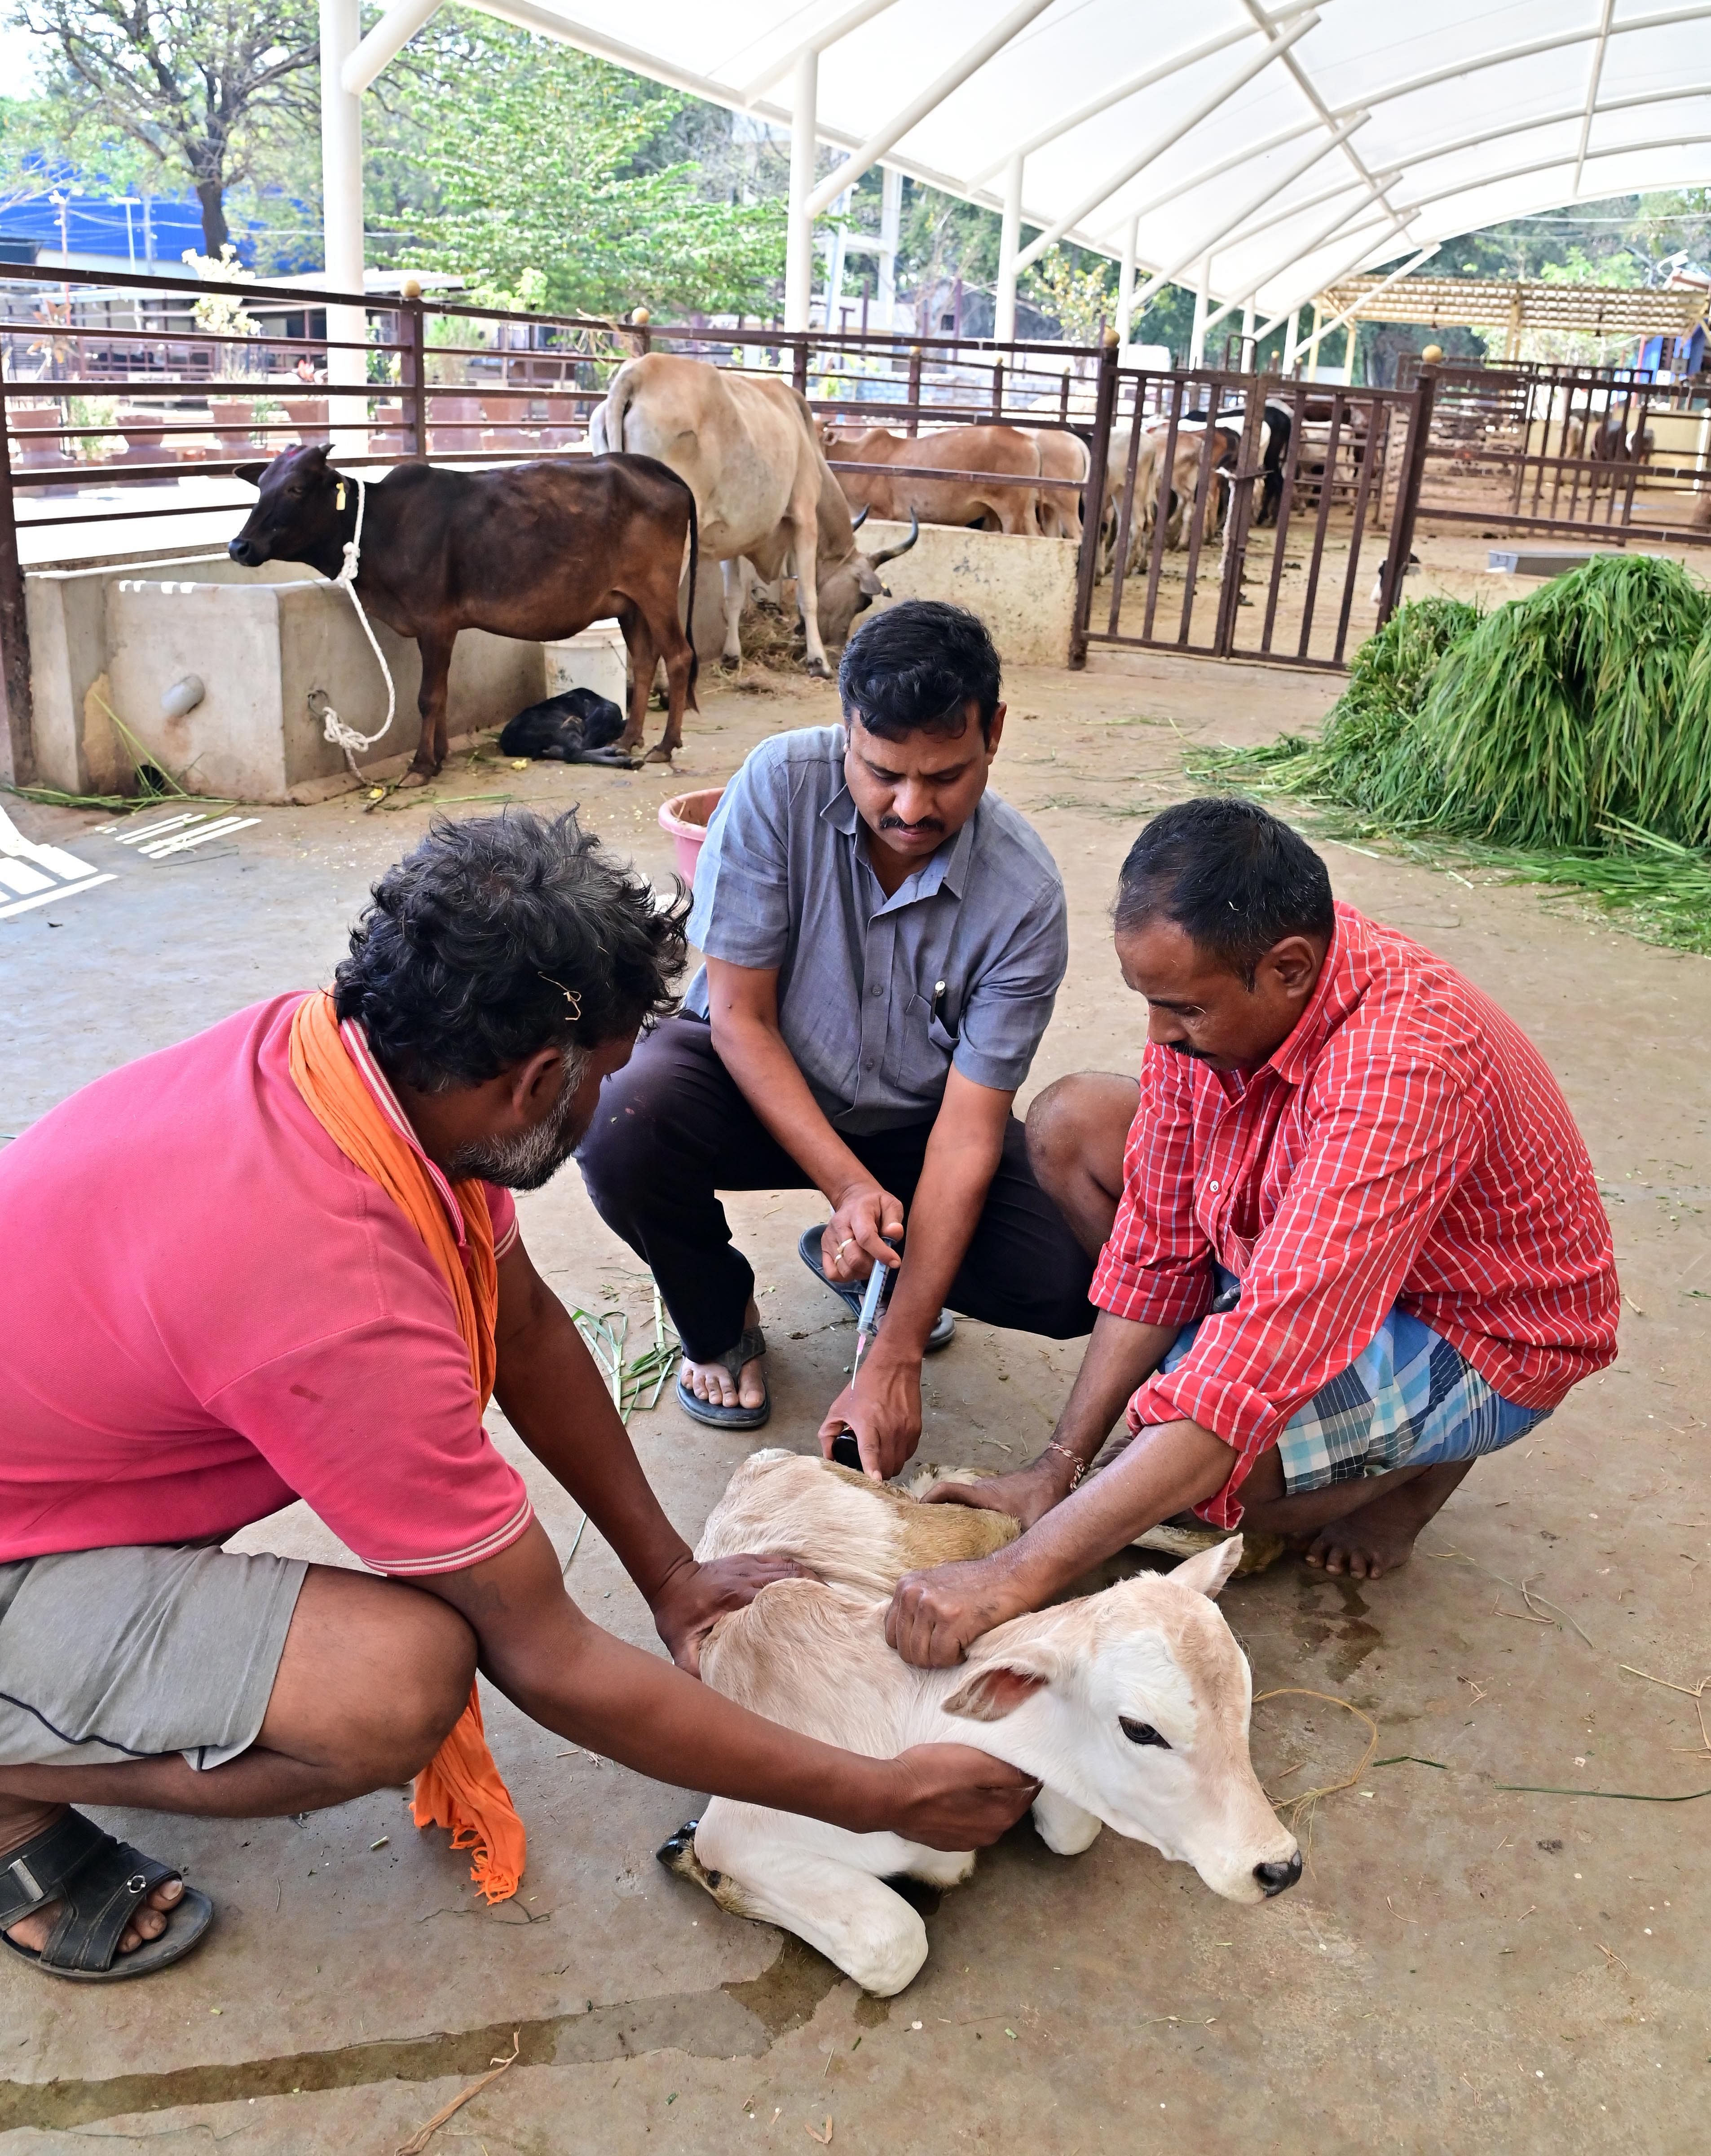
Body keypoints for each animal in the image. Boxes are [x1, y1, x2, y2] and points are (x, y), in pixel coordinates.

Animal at [229, 440, 698, 776]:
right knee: (644, 660)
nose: (239, 546)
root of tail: (648, 465)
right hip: (629, 601)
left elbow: (428, 696)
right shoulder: (440, 628)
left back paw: (664, 746)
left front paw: (421, 766)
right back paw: (628, 740)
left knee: (678, 656)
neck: (381, 525)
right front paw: (439, 755)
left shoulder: (434, 622)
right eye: (261, 487)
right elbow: (442, 694)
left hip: (656, 591)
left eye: (296, 488)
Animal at [659, 1457, 1301, 1992]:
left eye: (1244, 1698)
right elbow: (893, 1945)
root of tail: (765, 1461)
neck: (914, 1719)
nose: (1279, 1867)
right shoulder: (740, 1831)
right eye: (1140, 1729)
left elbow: (1073, 1831)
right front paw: (695, 1861)